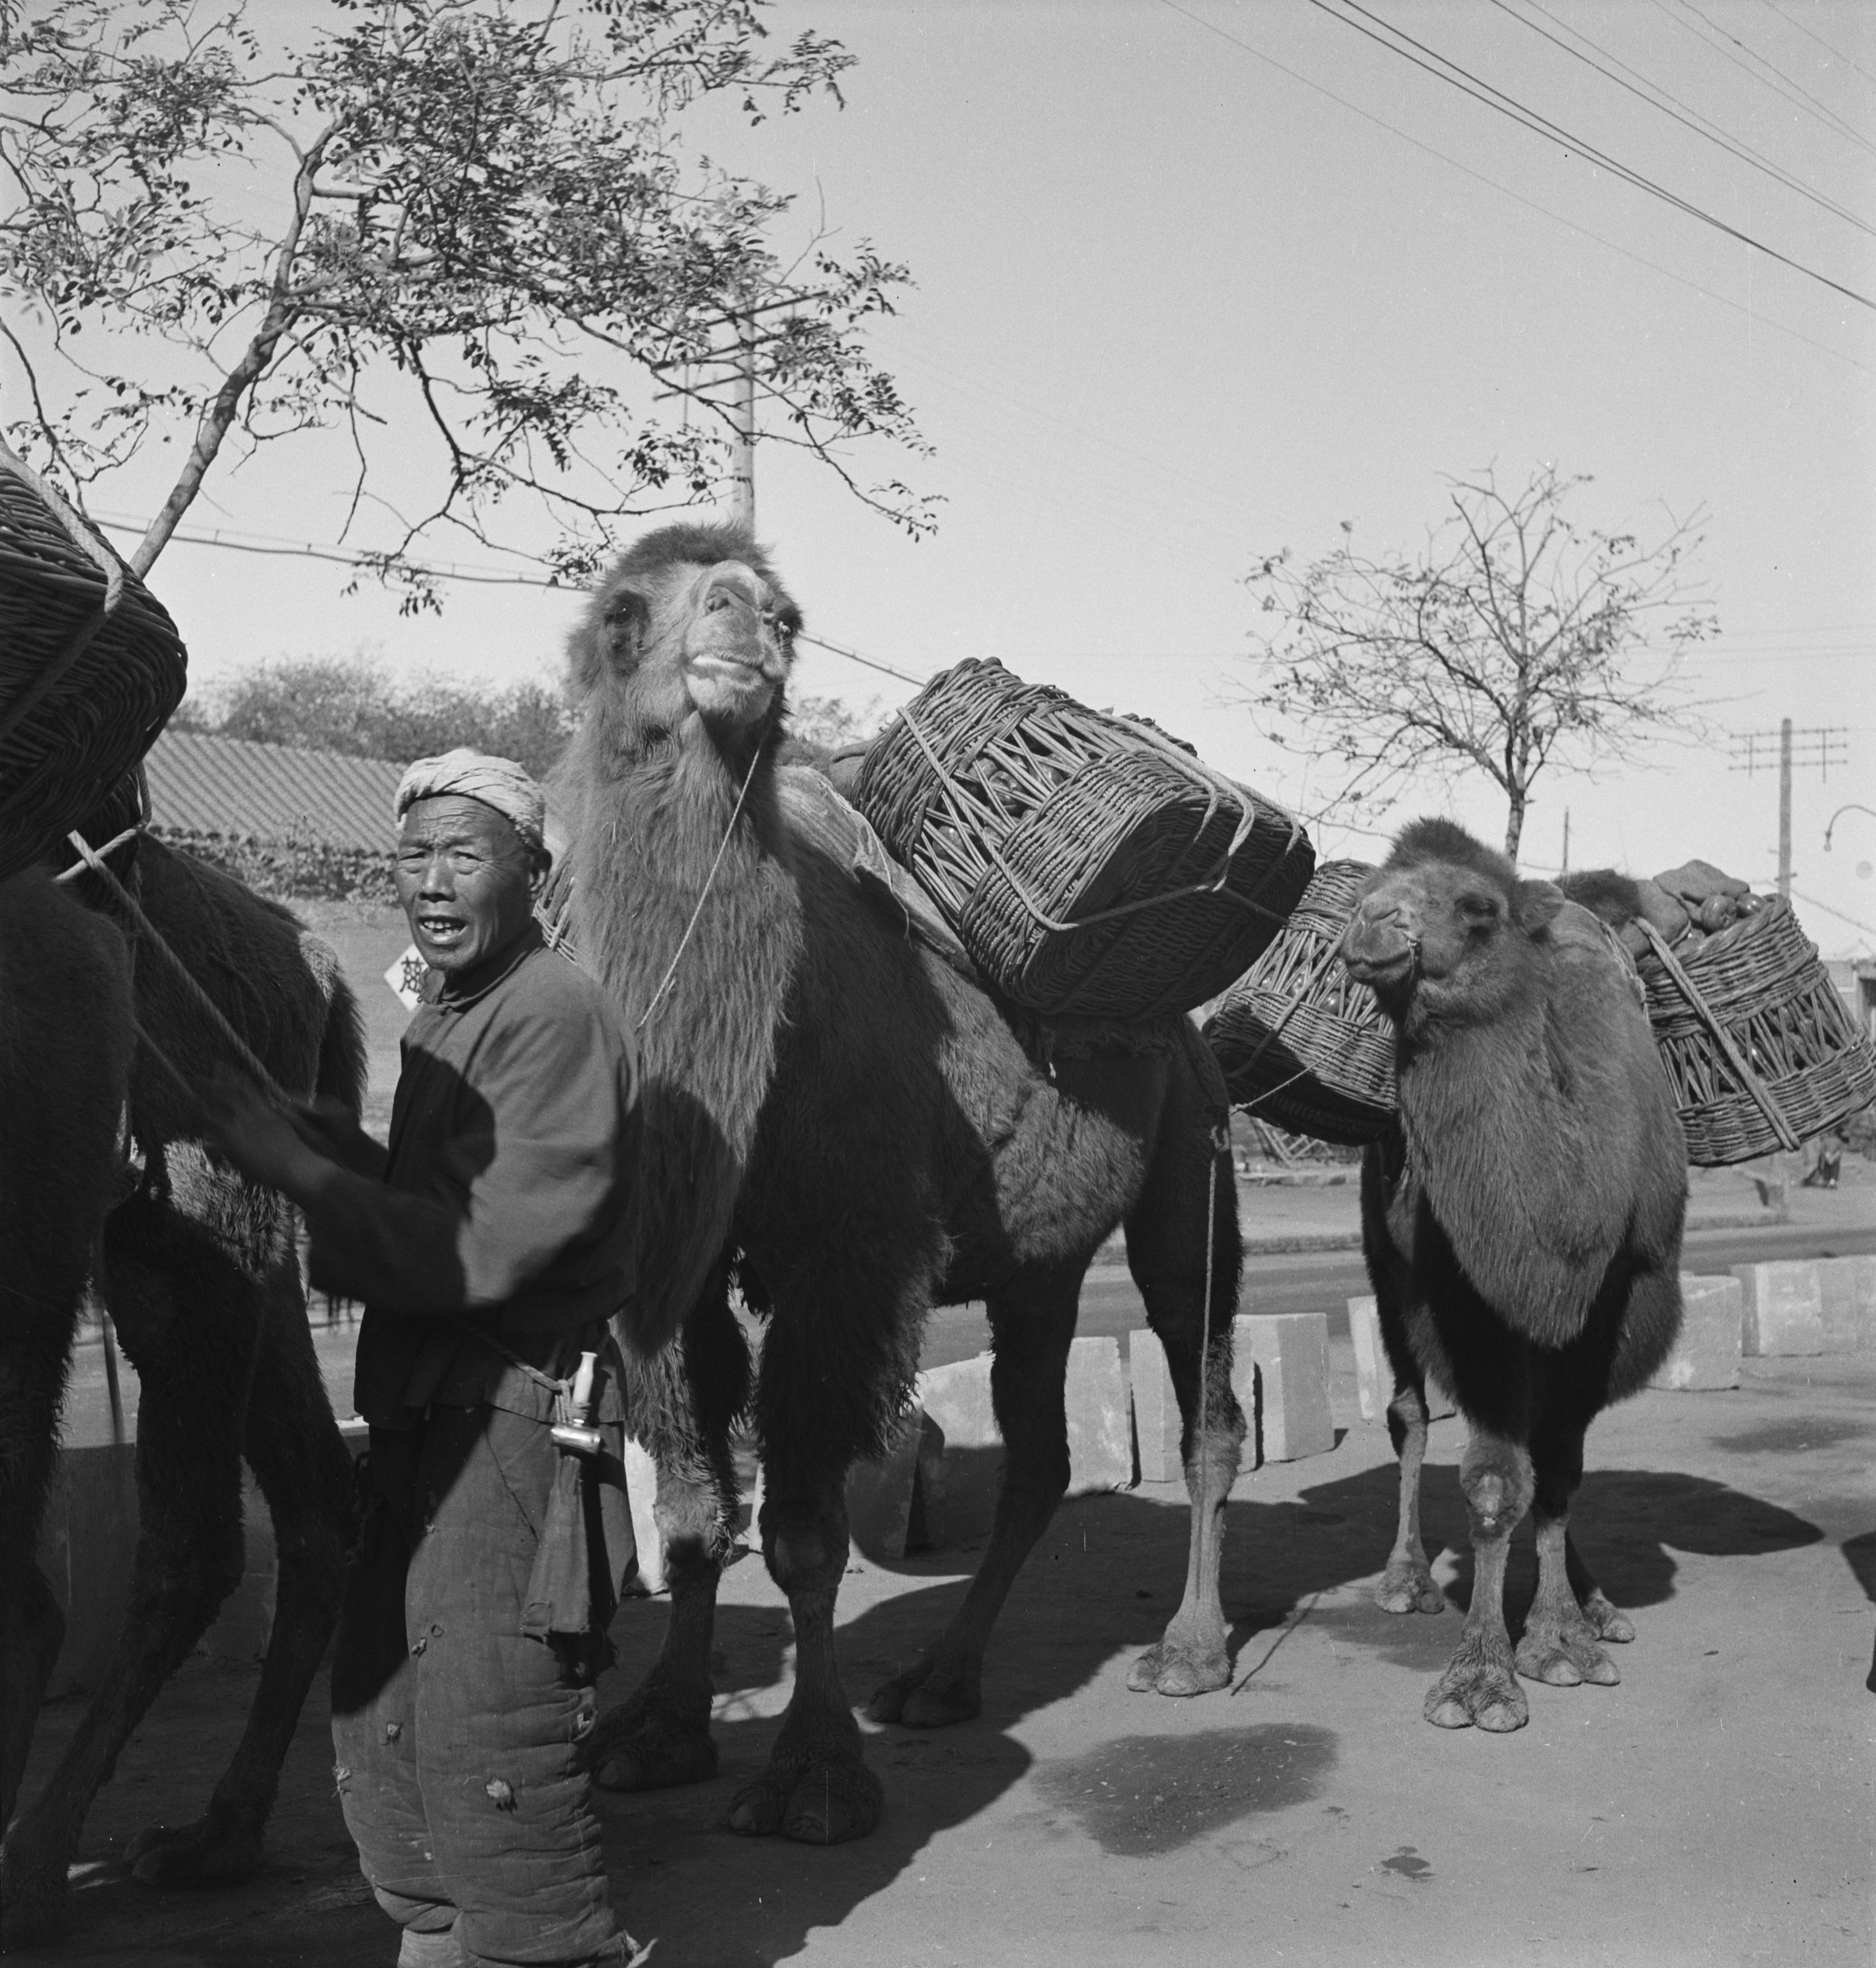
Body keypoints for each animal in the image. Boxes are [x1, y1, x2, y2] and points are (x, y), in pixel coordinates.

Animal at [2, 834, 366, 1952]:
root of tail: (313, 964)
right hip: (249, 1241)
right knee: (314, 1499)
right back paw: (216, 1838)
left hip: (183, 1223)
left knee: (187, 1542)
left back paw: (35, 1865)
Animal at [547, 523, 1251, 1842]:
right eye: (626, 612)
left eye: (789, 613)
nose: (745, 617)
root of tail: (1184, 1029)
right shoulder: (672, 1265)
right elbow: (691, 1516)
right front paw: (655, 1731)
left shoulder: (852, 1251)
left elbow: (805, 1535)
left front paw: (814, 1777)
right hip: (1041, 1265)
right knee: (1039, 1455)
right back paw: (940, 1678)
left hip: (1195, 1158)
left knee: (1206, 1399)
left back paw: (1190, 1649)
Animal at [1330, 822, 1685, 1732]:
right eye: (1370, 889)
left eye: (1476, 907)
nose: (1372, 923)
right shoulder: (1469, 1304)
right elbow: (1495, 1483)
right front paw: (1484, 1677)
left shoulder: (1613, 1306)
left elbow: (1556, 1475)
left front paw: (1559, 1637)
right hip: (1385, 1273)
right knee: (1409, 1412)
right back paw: (1407, 1578)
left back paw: (1597, 1603)